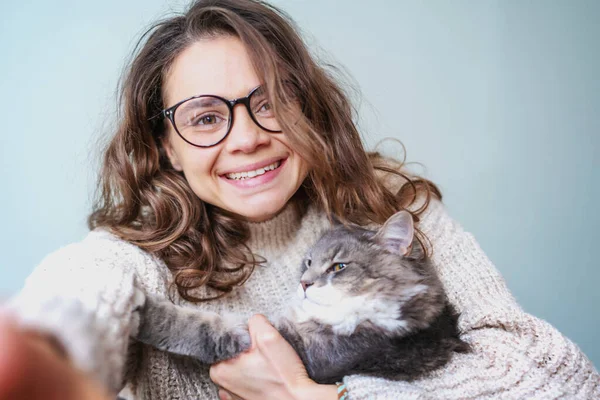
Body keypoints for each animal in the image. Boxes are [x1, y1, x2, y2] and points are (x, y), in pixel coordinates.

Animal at [135, 211, 468, 382]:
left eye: (339, 267)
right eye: (308, 262)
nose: (304, 284)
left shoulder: (295, 345)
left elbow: (195, 325)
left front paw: (140, 305)